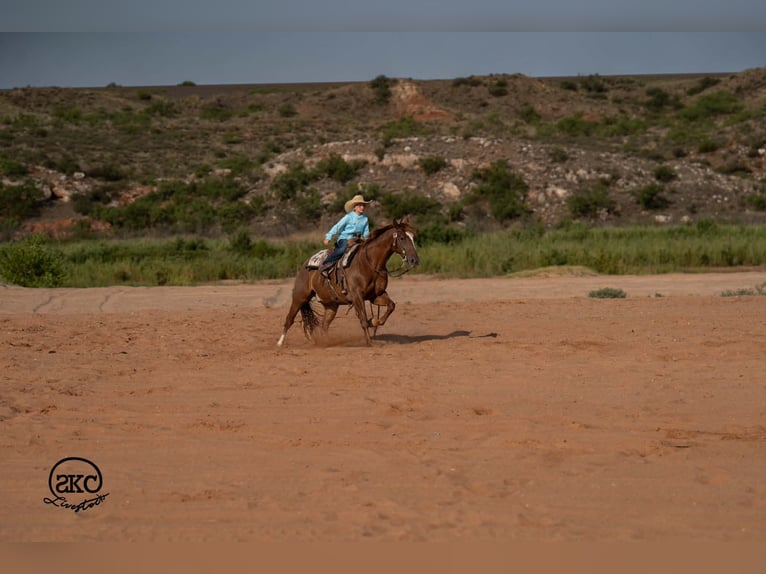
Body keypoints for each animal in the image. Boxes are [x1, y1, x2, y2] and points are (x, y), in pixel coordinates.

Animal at [277, 218, 419, 347]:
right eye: (402, 238)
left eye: (413, 237)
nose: (414, 260)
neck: (369, 263)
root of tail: (306, 265)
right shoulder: (357, 296)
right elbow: (362, 318)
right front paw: (369, 342)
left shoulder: (376, 295)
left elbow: (391, 306)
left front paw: (373, 322)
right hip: (299, 297)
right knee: (289, 319)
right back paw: (280, 343)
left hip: (331, 305)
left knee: (324, 325)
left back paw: (325, 343)